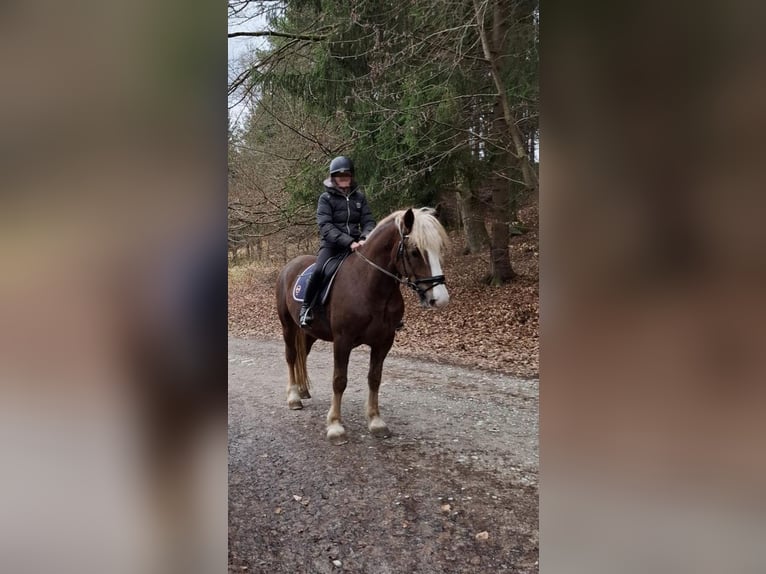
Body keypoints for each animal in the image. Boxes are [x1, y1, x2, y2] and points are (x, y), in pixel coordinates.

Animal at [275, 207, 450, 444]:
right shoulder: (343, 340)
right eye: (415, 251)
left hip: (309, 333)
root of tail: (290, 265)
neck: (370, 285)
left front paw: (376, 421)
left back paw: (302, 390)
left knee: (303, 356)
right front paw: (335, 426)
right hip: (288, 326)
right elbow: (339, 380)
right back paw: (293, 397)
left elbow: (374, 379)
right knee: (292, 357)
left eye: (438, 248)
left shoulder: (384, 341)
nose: (440, 299)